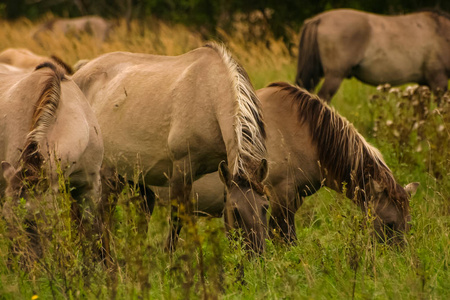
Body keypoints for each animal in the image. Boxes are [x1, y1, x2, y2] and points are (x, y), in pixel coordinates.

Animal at [73, 42, 268, 253]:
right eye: (236, 211)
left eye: (265, 207)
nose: (256, 254)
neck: (209, 92)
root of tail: (78, 74)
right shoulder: (182, 170)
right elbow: (177, 221)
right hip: (107, 175)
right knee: (99, 221)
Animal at [155, 82, 418, 244]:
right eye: (389, 224)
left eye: (408, 225)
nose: (400, 262)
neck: (303, 133)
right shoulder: (280, 197)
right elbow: (285, 239)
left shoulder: (292, 199)